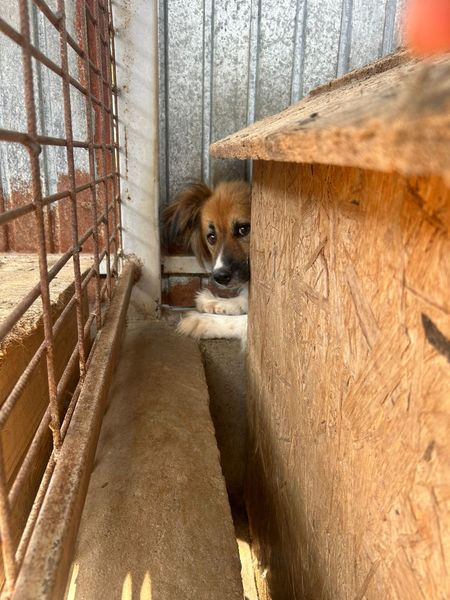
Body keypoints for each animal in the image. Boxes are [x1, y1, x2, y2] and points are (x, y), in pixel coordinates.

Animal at [164, 180, 251, 344]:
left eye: (244, 229)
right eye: (211, 237)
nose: (220, 277)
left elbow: (248, 321)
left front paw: (204, 321)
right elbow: (245, 299)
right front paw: (215, 301)